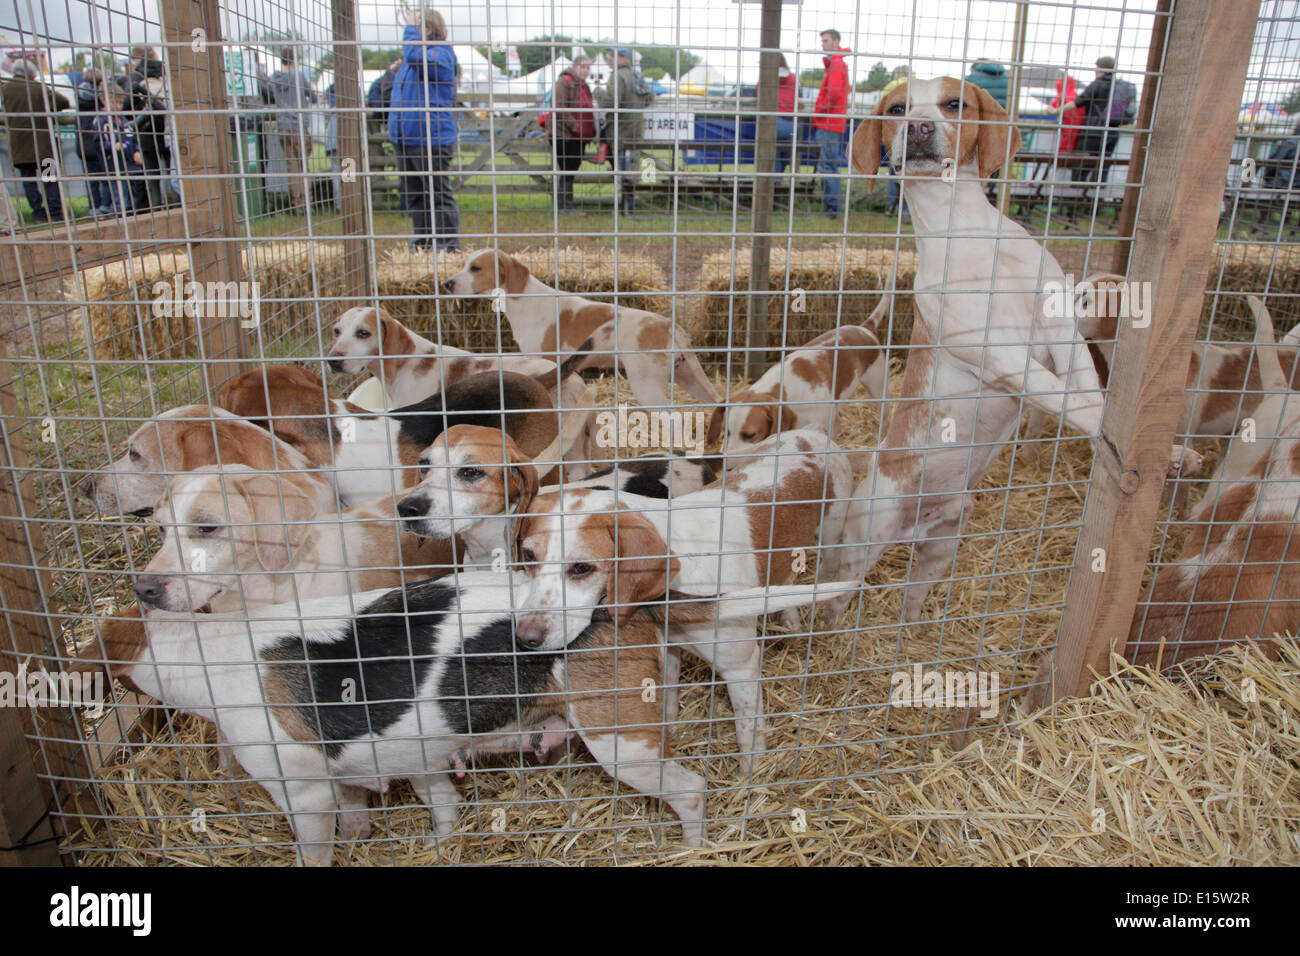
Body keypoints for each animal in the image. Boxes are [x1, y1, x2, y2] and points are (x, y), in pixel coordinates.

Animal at [441, 248, 717, 408]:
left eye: (476, 268)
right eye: (463, 264)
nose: (447, 283)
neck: (524, 298)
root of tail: (669, 325)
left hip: (647, 385)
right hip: (688, 376)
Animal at [842, 78, 1196, 624]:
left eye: (954, 104)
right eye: (897, 109)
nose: (918, 127)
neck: (967, 232)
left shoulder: (1062, 332)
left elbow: (1089, 396)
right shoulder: (999, 355)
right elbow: (1072, 401)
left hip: (940, 550)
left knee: (912, 599)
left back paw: (915, 629)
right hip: (856, 550)